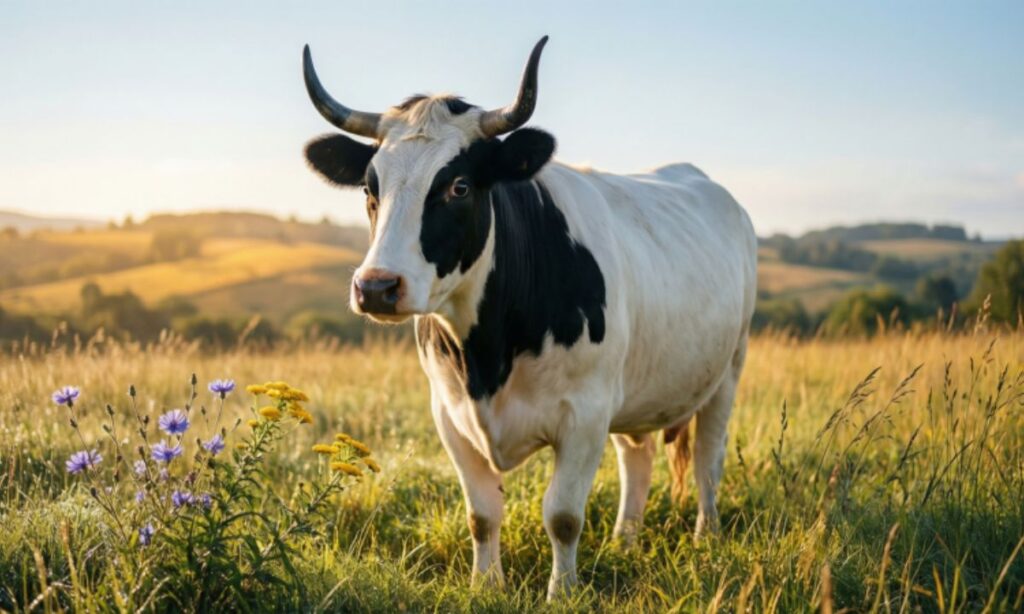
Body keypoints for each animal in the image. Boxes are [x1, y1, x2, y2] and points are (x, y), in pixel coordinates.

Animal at [301, 36, 757, 599]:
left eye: (458, 186)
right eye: (371, 189)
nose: (376, 287)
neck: (486, 357)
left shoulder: (585, 414)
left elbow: (562, 515)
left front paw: (563, 592)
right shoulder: (449, 415)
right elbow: (481, 515)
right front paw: (484, 586)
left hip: (728, 370)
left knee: (708, 461)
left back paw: (704, 539)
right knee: (637, 457)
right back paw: (624, 542)